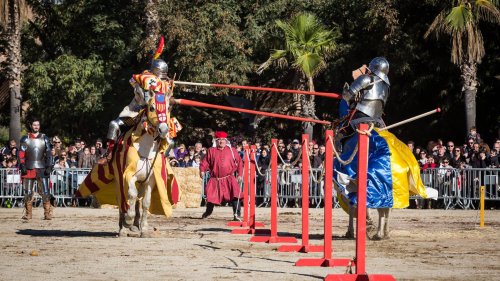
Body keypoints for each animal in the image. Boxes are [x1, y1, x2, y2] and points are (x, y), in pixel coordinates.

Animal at [77, 89, 179, 236]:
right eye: (152, 108)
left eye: (167, 108)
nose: (164, 130)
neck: (145, 148)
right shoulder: (128, 176)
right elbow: (130, 195)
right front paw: (128, 220)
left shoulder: (150, 180)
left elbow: (146, 202)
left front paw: (144, 229)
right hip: (117, 181)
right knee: (122, 201)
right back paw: (123, 228)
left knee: (137, 201)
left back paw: (135, 226)